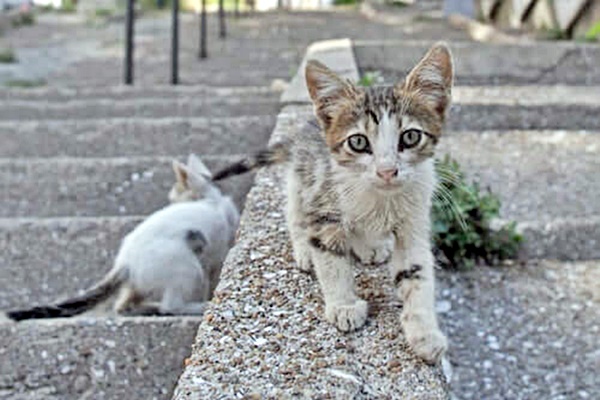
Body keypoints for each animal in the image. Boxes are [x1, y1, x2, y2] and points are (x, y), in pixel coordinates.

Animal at [213, 42, 452, 364]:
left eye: (411, 136)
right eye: (359, 142)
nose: (387, 171)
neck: (379, 198)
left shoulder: (413, 221)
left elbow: (416, 273)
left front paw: (424, 333)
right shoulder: (324, 204)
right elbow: (331, 259)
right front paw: (344, 305)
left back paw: (369, 246)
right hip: (305, 177)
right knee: (295, 211)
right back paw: (304, 249)